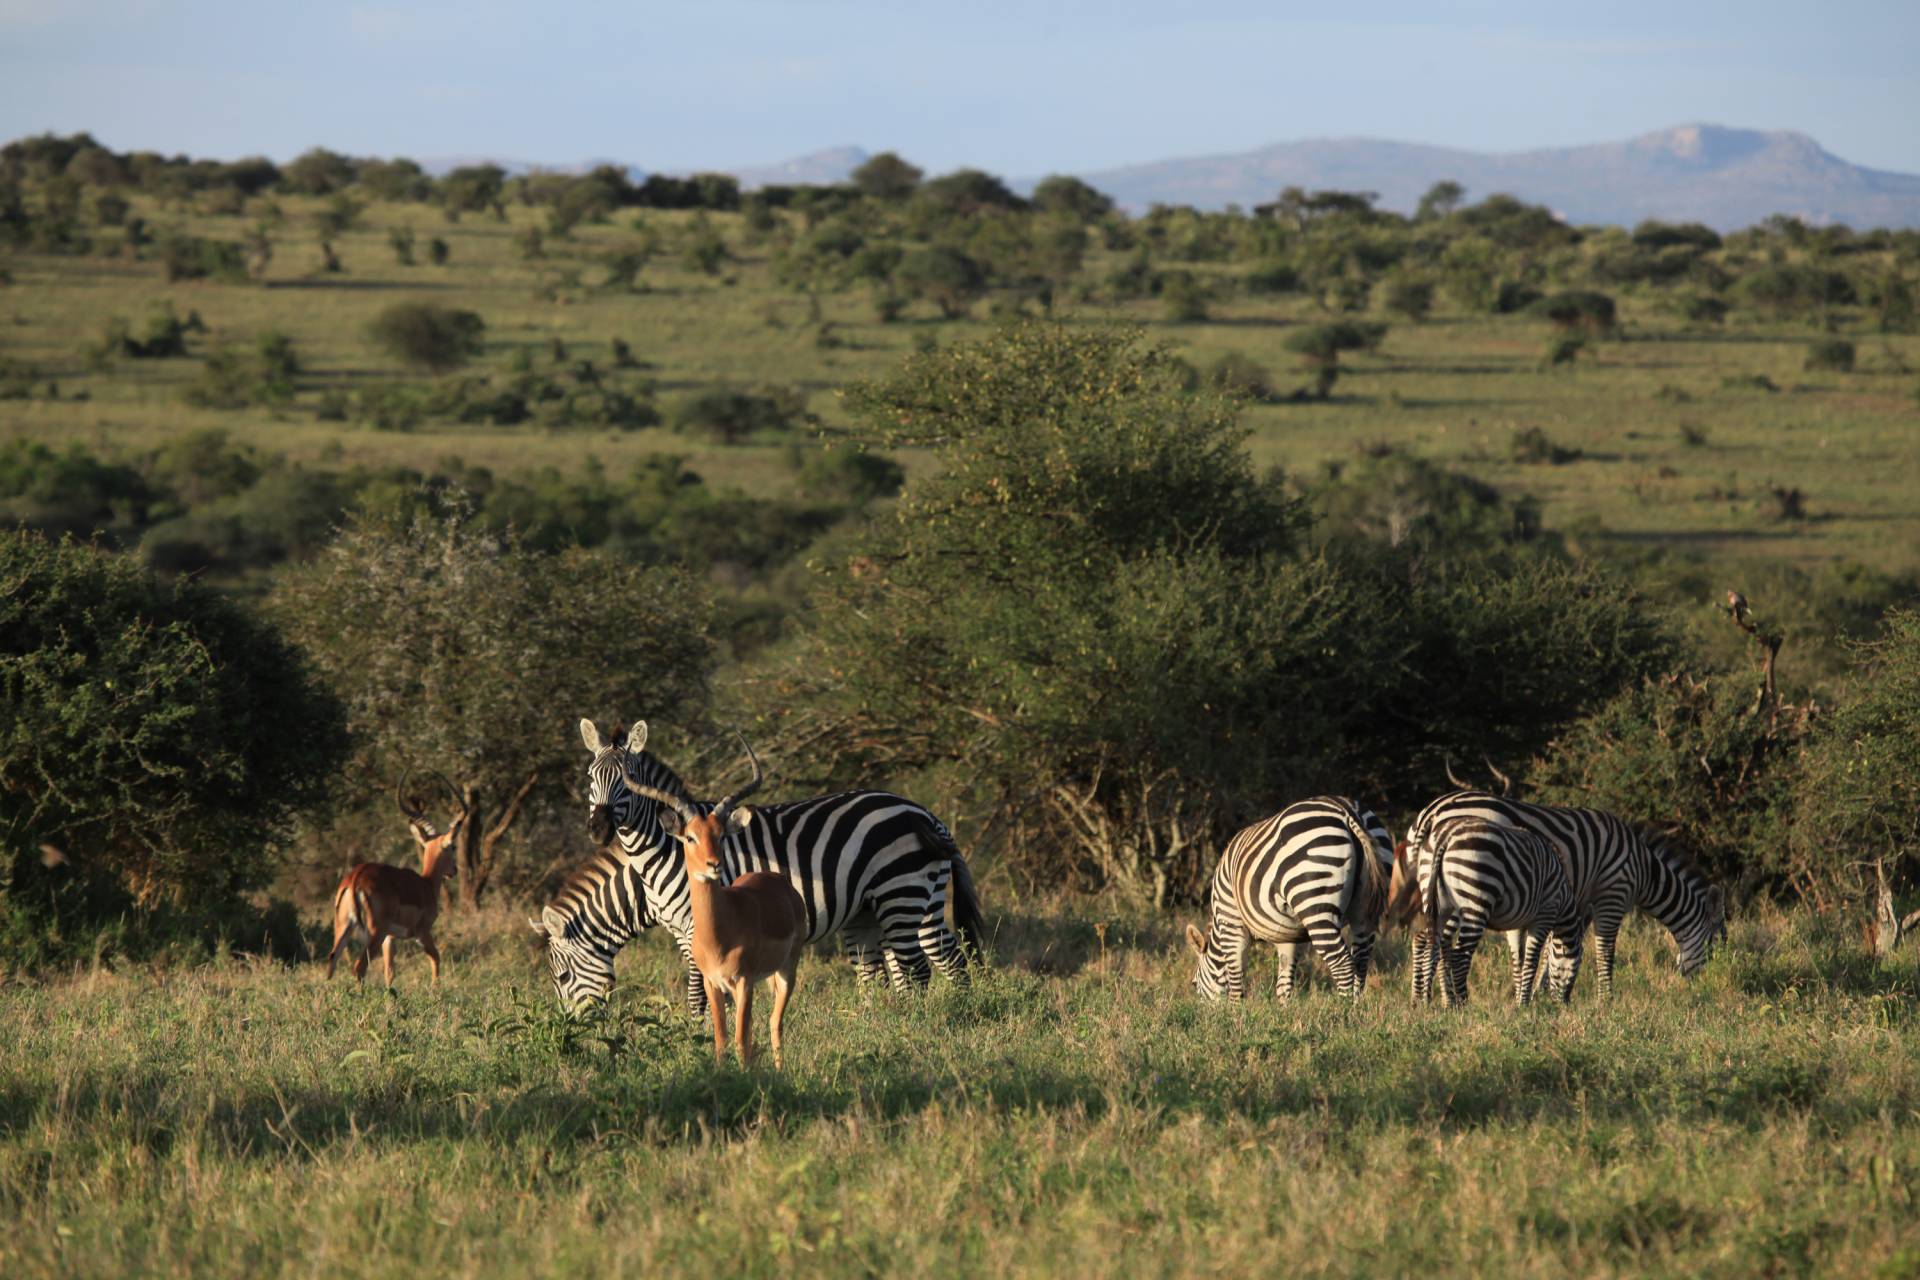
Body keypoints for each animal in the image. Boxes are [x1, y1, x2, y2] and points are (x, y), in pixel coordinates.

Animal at [325, 772, 466, 988]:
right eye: (452, 847)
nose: (454, 871)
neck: (426, 883)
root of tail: (355, 878)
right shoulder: (422, 932)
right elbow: (435, 958)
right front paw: (435, 989)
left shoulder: (390, 938)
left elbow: (389, 972)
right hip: (375, 932)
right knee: (359, 967)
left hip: (344, 927)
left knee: (332, 962)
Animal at [623, 734, 806, 1068]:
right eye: (690, 836)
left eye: (720, 834)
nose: (714, 864)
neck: (718, 935)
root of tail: (780, 882)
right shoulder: (713, 983)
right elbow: (721, 1039)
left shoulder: (743, 981)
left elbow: (739, 1040)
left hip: (787, 969)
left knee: (775, 1022)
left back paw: (779, 1069)